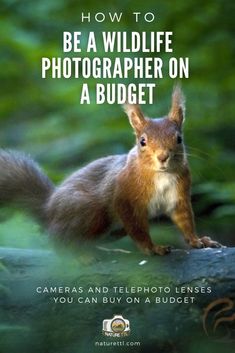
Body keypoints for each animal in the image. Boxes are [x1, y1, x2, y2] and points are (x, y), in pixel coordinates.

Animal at [0, 86, 222, 254]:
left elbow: (185, 221)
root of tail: (48, 210)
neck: (161, 175)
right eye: (142, 141)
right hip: (90, 211)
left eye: (179, 139)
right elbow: (138, 229)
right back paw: (80, 256)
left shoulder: (179, 194)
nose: (162, 157)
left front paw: (198, 241)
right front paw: (152, 248)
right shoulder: (125, 196)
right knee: (58, 242)